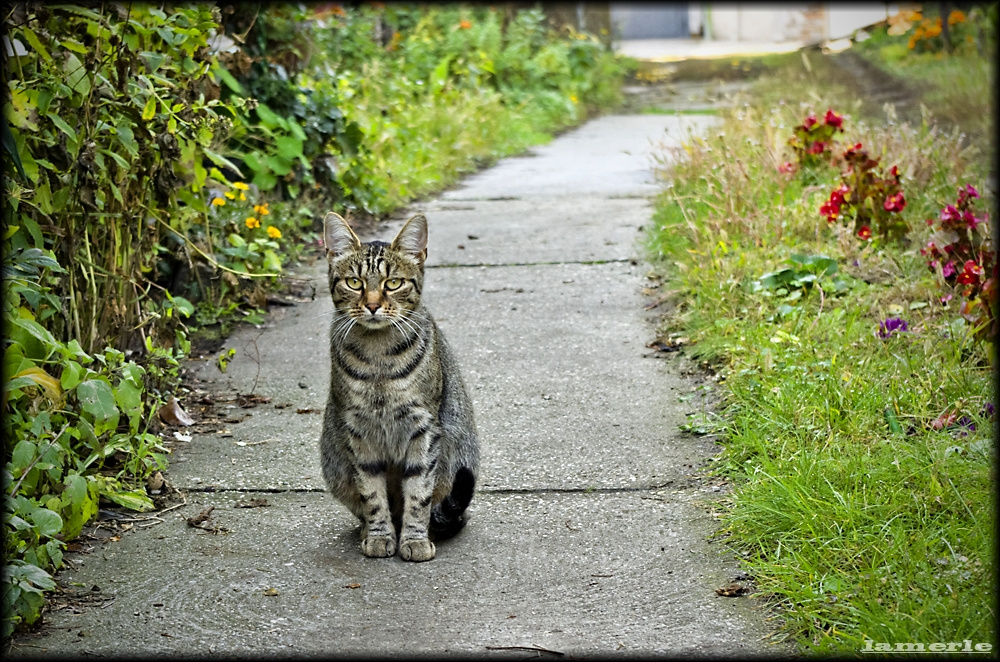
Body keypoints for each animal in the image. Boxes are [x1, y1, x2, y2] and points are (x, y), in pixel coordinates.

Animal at [318, 214, 478, 564]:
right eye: (354, 283)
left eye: (393, 283)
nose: (372, 305)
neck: (378, 356)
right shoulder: (358, 430)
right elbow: (372, 494)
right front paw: (380, 536)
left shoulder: (423, 427)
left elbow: (418, 494)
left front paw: (415, 539)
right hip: (334, 465)